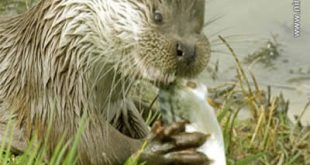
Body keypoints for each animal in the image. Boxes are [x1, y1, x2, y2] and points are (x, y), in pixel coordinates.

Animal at [0, 0, 211, 164]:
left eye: (200, 20)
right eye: (157, 16)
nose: (189, 50)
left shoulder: (119, 105)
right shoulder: (49, 95)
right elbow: (90, 146)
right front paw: (163, 146)